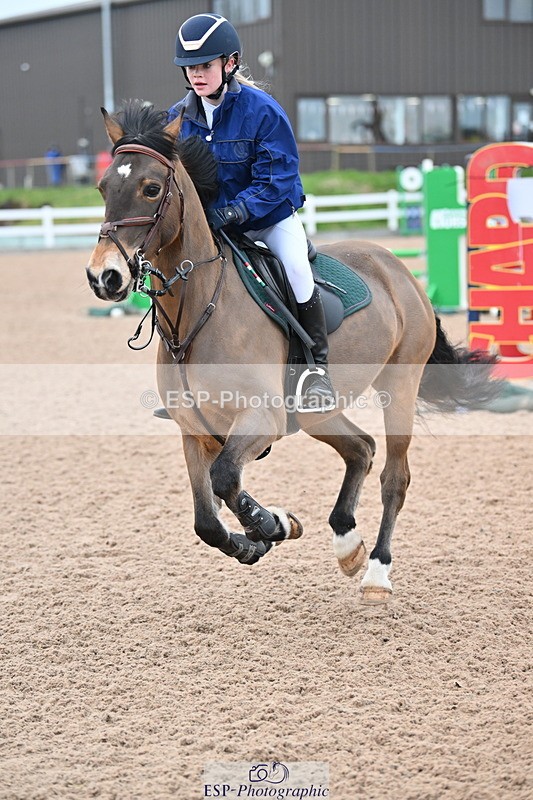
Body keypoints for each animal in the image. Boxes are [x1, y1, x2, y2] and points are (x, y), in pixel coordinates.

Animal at [86, 101, 496, 604]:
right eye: (104, 187)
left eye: (151, 188)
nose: (104, 277)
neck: (197, 311)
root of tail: (396, 267)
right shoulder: (195, 433)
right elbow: (207, 519)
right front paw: (257, 538)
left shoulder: (260, 419)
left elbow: (226, 480)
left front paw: (271, 524)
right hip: (318, 411)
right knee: (361, 448)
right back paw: (347, 544)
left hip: (399, 385)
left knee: (394, 477)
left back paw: (377, 571)